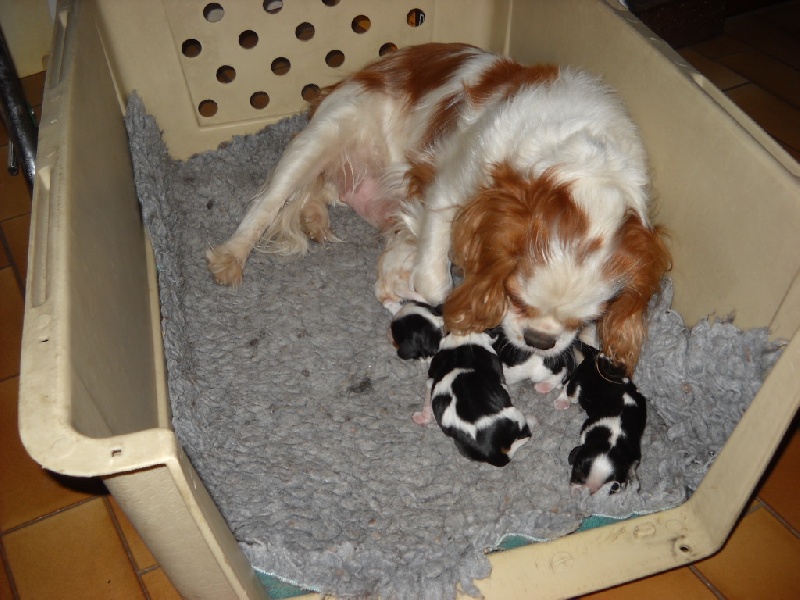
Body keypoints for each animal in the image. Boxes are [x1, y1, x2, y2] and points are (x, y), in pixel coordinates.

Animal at [206, 43, 668, 376]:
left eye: (591, 316)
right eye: (515, 298)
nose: (540, 340)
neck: (580, 159)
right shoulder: (449, 183)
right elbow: (435, 283)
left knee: (317, 193)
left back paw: (315, 218)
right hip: (322, 133)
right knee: (268, 202)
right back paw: (230, 256)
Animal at [560, 344, 648, 494]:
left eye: (610, 487)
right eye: (578, 474)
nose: (583, 493)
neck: (612, 441)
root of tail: (596, 358)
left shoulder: (634, 453)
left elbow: (632, 466)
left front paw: (631, 476)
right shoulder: (587, 428)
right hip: (577, 386)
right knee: (568, 387)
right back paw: (561, 401)